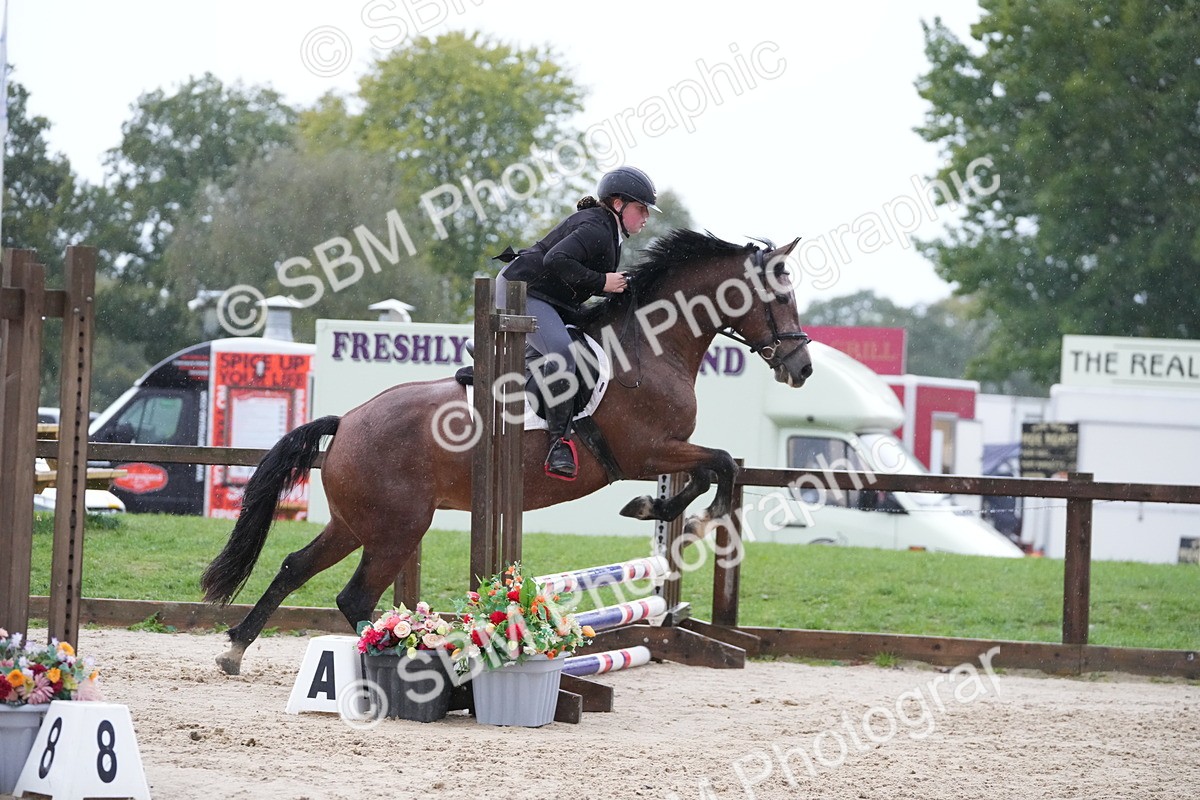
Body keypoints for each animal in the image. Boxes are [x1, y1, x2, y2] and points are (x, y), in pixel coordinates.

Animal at [201, 229, 814, 674]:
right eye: (781, 297)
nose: (801, 368)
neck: (653, 345)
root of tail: (346, 421)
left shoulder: (662, 453)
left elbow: (716, 468)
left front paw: (663, 511)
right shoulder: (648, 453)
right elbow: (721, 465)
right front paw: (683, 513)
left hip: (356, 523)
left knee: (295, 566)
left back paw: (236, 648)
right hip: (399, 528)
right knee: (354, 599)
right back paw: (416, 660)